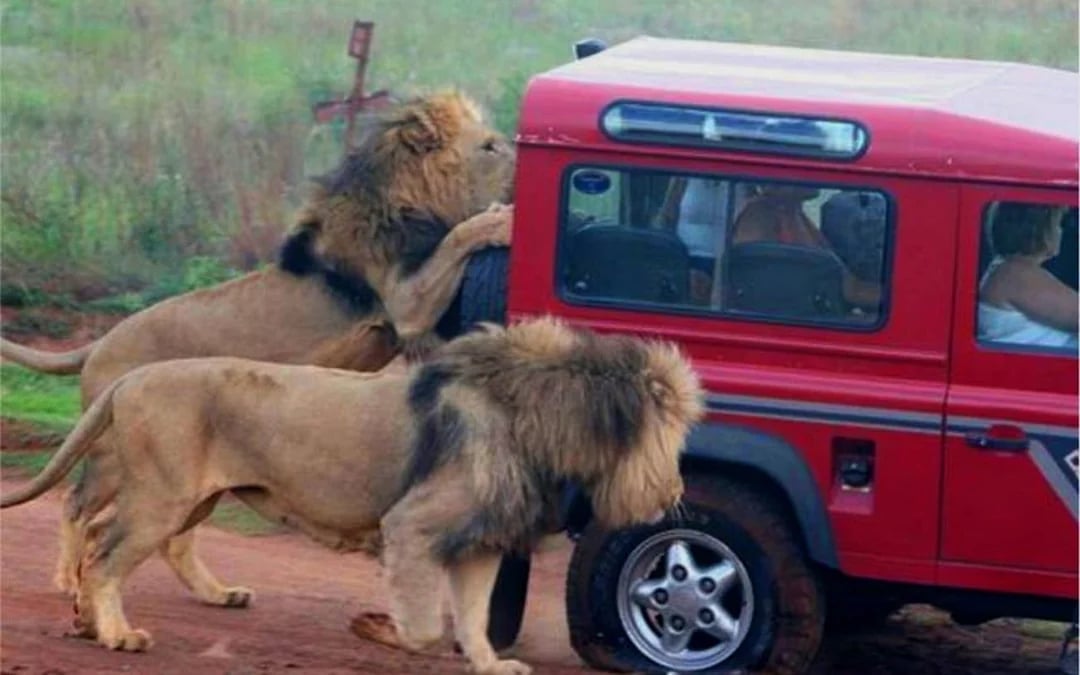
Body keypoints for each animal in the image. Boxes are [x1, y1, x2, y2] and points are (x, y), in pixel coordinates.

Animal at [0, 90, 516, 602]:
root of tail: (98, 343)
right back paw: (69, 581)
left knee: (170, 537)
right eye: (490, 146)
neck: (408, 195)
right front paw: (501, 221)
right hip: (110, 454)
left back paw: (218, 593)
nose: (517, 157)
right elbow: (459, 236)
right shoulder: (406, 301)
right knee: (77, 505)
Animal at [1, 317, 704, 675]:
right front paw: (377, 628)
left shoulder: (479, 541)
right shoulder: (412, 526)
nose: (675, 489)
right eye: (671, 433)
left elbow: (474, 617)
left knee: (117, 540)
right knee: (105, 553)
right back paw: (117, 633)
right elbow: (426, 628)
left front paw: (488, 664)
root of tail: (133, 377)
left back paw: (96, 619)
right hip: (161, 496)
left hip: (187, 495)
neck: (537, 421)